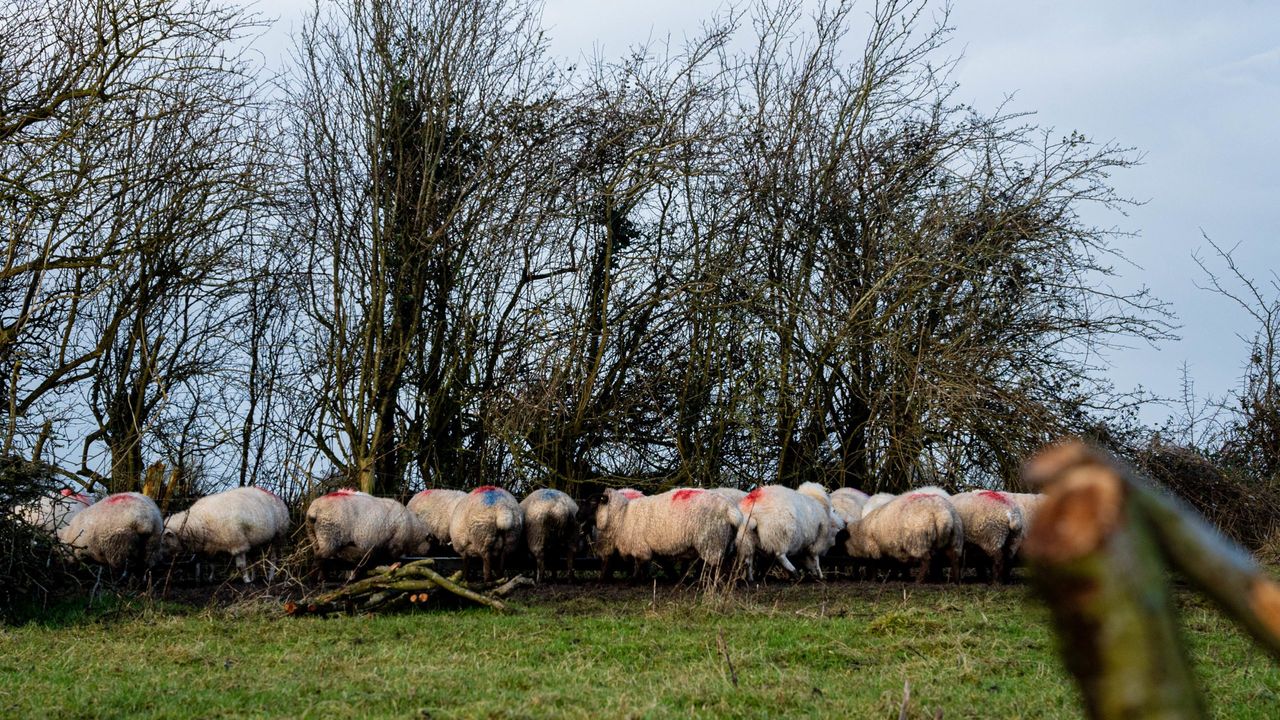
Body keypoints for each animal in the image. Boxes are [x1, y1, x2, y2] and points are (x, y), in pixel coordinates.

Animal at [162, 486, 290, 583]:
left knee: (274, 558)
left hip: (278, 536)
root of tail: (276, 496)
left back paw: (270, 577)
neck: (199, 521)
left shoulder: (238, 544)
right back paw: (254, 577)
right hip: (254, 540)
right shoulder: (210, 548)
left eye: (164, 541)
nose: (160, 559)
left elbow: (241, 566)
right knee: (253, 559)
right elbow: (211, 565)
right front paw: (209, 579)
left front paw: (246, 580)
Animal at [592, 487, 741, 581]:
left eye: (593, 502)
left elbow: (638, 564)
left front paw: (634, 580)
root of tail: (729, 508)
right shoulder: (652, 548)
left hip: (711, 540)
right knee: (728, 563)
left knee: (718, 566)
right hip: (725, 541)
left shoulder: (640, 546)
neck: (623, 515)